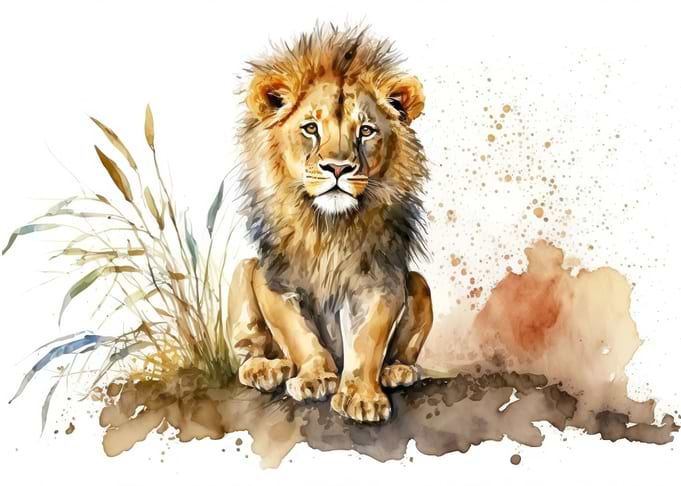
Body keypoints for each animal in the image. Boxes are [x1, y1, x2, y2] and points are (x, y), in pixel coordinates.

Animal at [227, 25, 433, 423]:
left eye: (365, 131)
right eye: (310, 128)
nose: (338, 168)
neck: (329, 227)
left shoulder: (379, 280)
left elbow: (367, 340)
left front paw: (362, 397)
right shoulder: (276, 279)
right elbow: (299, 335)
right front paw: (315, 378)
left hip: (419, 283)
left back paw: (397, 370)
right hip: (244, 271)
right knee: (249, 347)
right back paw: (266, 368)